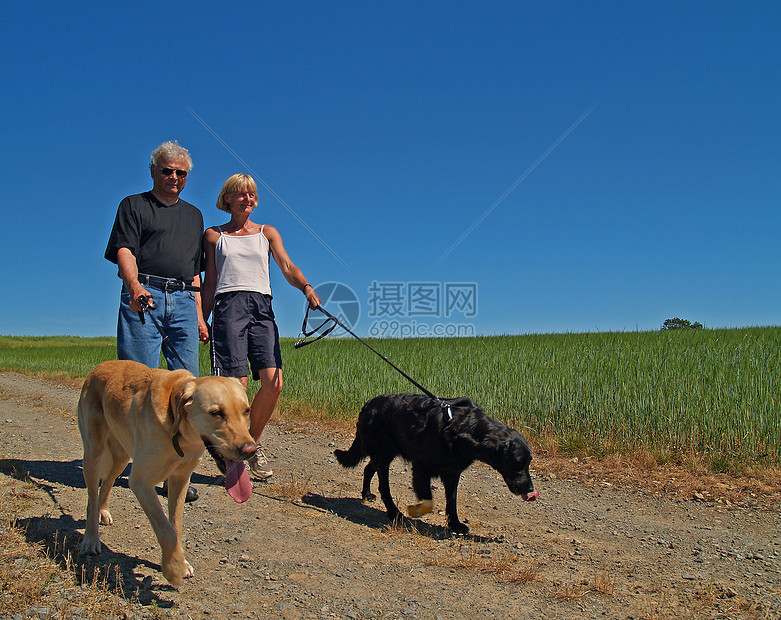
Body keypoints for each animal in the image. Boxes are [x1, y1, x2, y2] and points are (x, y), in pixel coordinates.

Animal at [76, 358, 254, 588]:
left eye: (246, 411)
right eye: (216, 413)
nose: (251, 450)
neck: (179, 433)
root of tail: (99, 367)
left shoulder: (180, 479)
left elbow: (175, 526)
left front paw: (179, 561)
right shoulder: (140, 482)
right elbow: (166, 530)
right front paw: (173, 569)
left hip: (121, 456)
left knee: (106, 484)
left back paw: (103, 512)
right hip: (93, 452)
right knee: (92, 496)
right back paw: (90, 539)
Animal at [332, 392, 540, 532]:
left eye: (529, 462)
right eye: (518, 462)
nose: (530, 489)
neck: (463, 429)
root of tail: (367, 405)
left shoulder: (452, 472)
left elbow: (452, 501)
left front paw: (455, 524)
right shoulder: (421, 469)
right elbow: (428, 501)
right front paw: (416, 511)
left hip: (385, 453)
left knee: (368, 468)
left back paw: (367, 494)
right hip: (383, 454)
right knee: (384, 486)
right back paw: (393, 512)